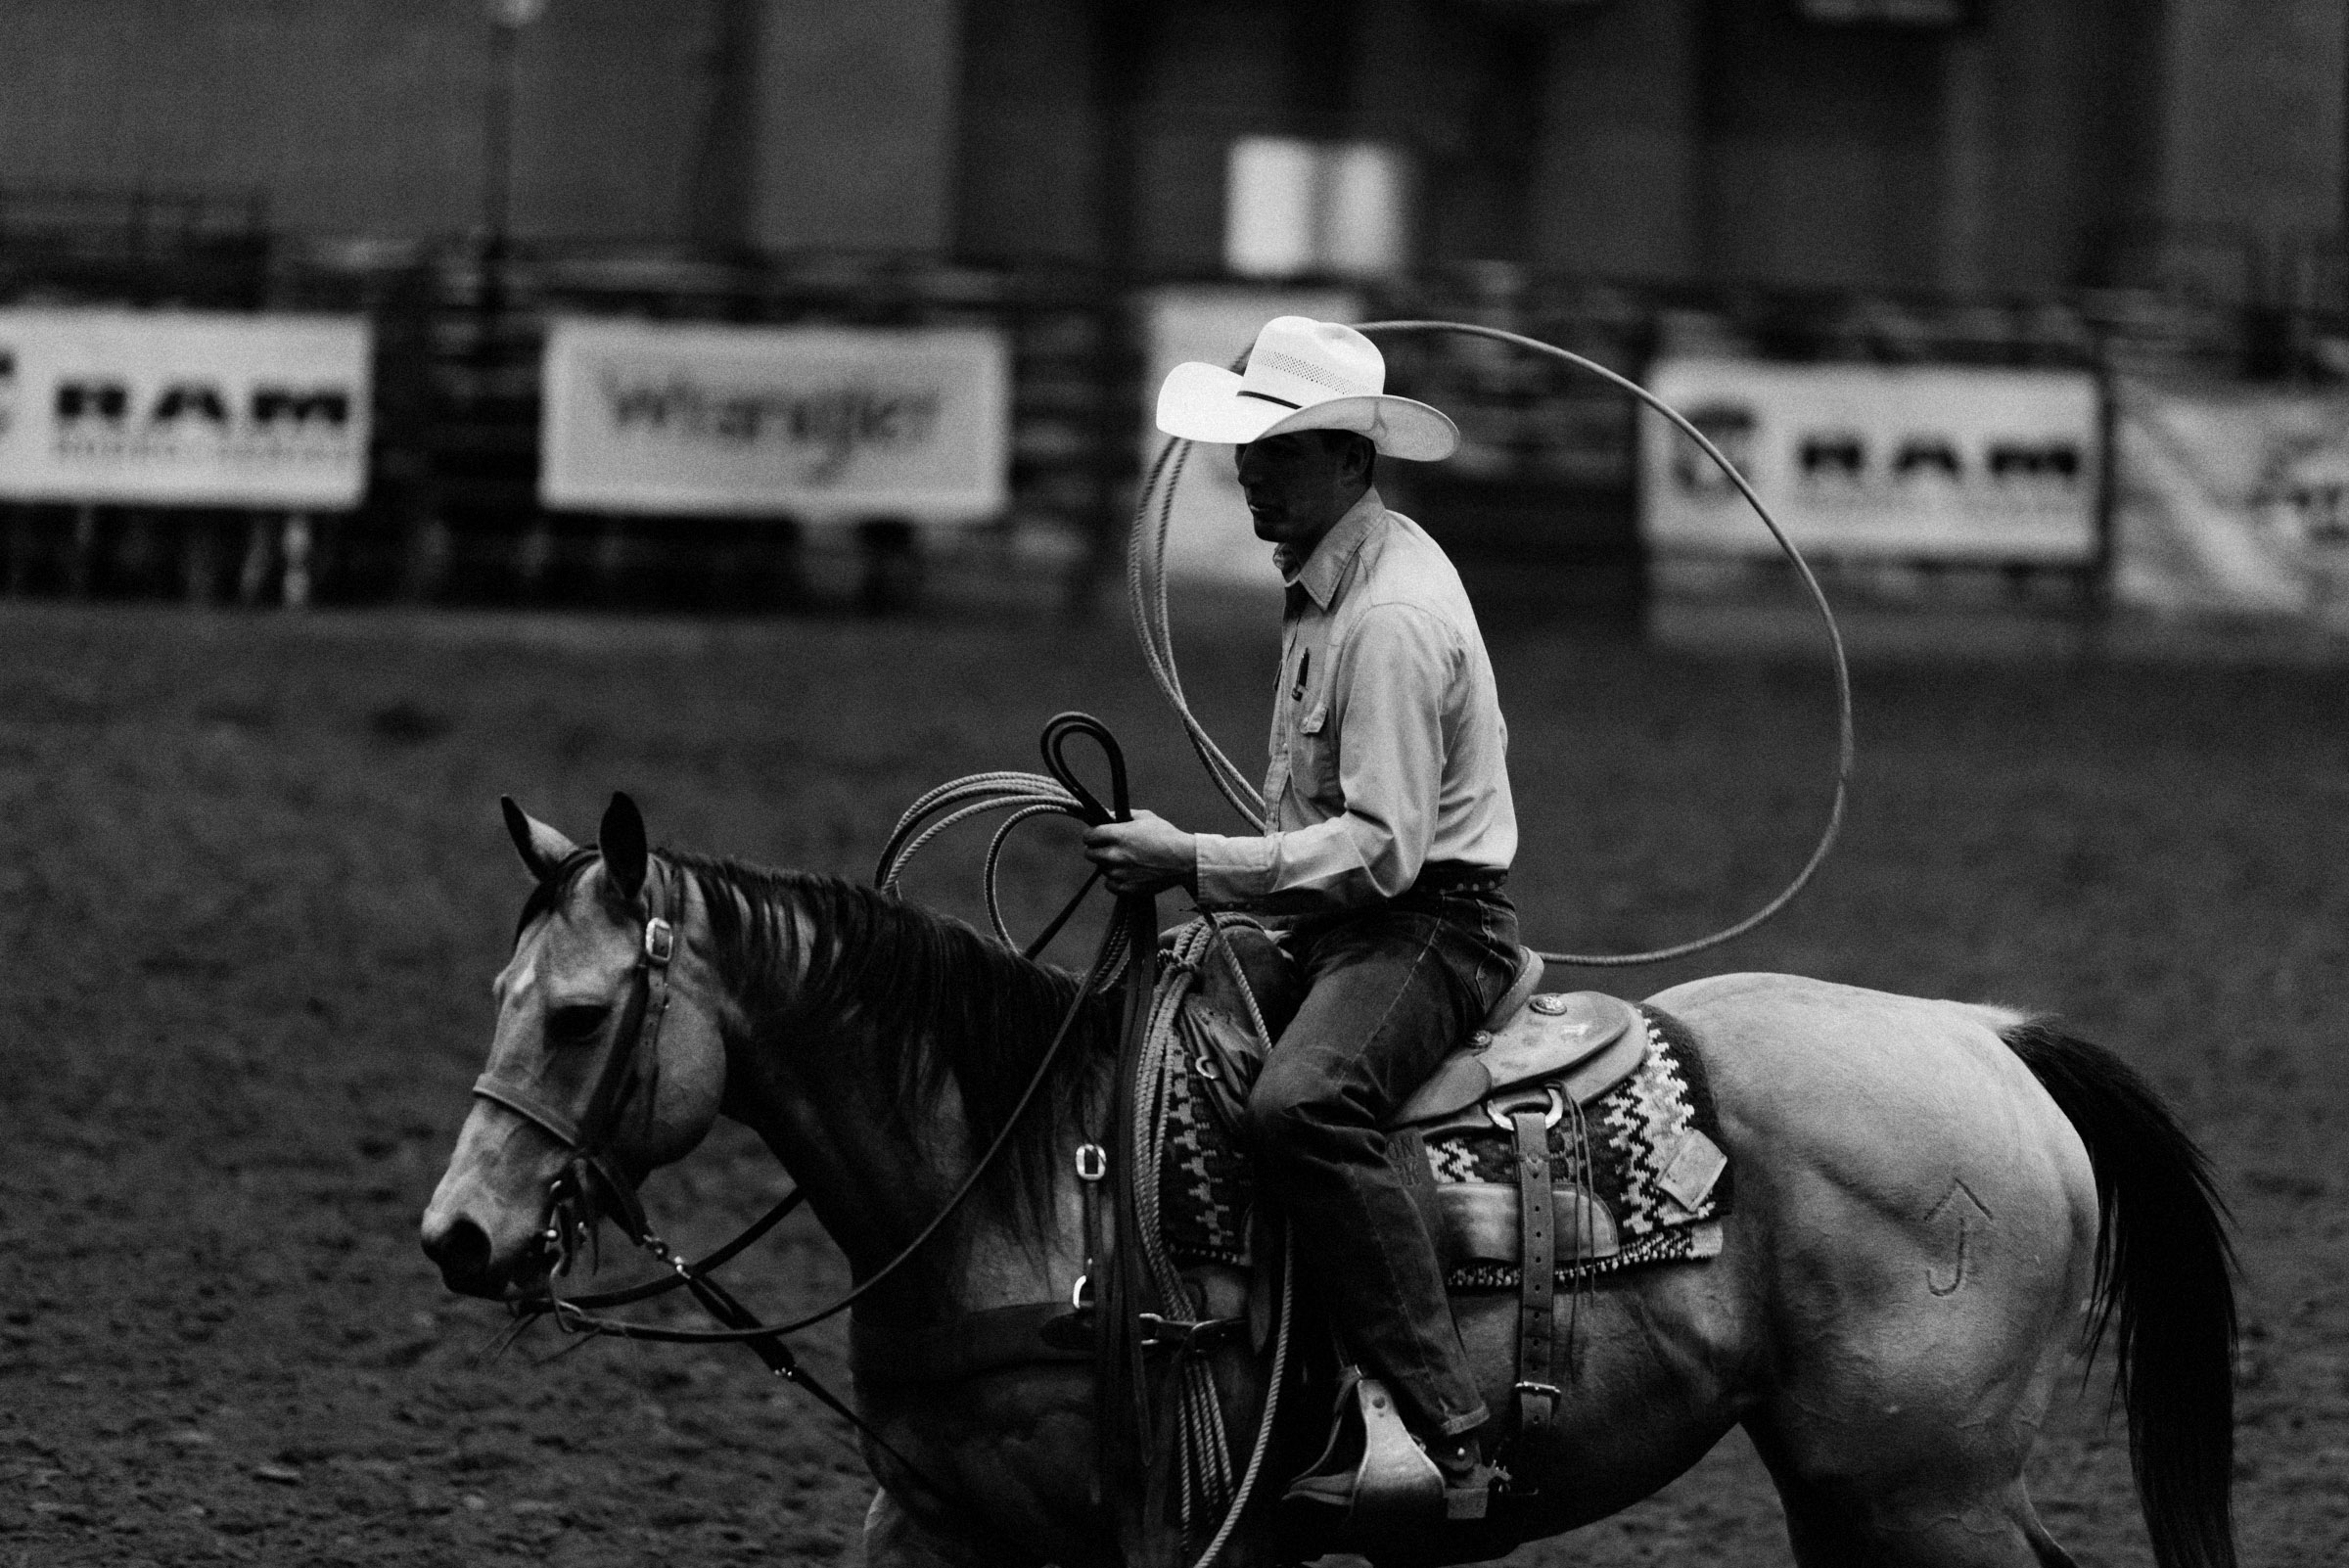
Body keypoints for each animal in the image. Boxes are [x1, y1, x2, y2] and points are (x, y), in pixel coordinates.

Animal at [423, 798, 2235, 1568]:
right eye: (495, 993)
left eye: (579, 1013)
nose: (460, 1234)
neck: (1025, 1181)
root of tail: (1991, 1036)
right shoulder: (935, 1510)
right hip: (1863, 1486)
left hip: (1927, 1487)